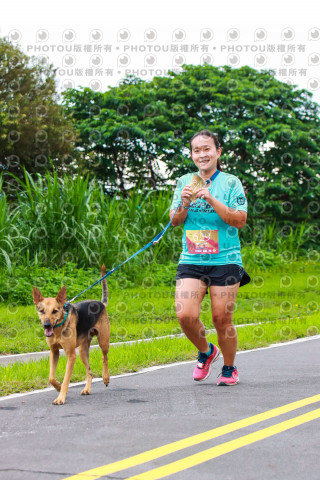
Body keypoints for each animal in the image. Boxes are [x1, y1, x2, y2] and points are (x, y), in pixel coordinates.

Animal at [32, 264, 110, 404]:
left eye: (55, 311)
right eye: (41, 311)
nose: (47, 325)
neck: (58, 328)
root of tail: (101, 303)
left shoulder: (71, 355)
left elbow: (66, 379)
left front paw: (61, 397)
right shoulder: (54, 352)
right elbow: (51, 377)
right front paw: (57, 386)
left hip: (103, 341)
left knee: (104, 357)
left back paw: (106, 377)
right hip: (83, 351)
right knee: (89, 371)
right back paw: (87, 389)